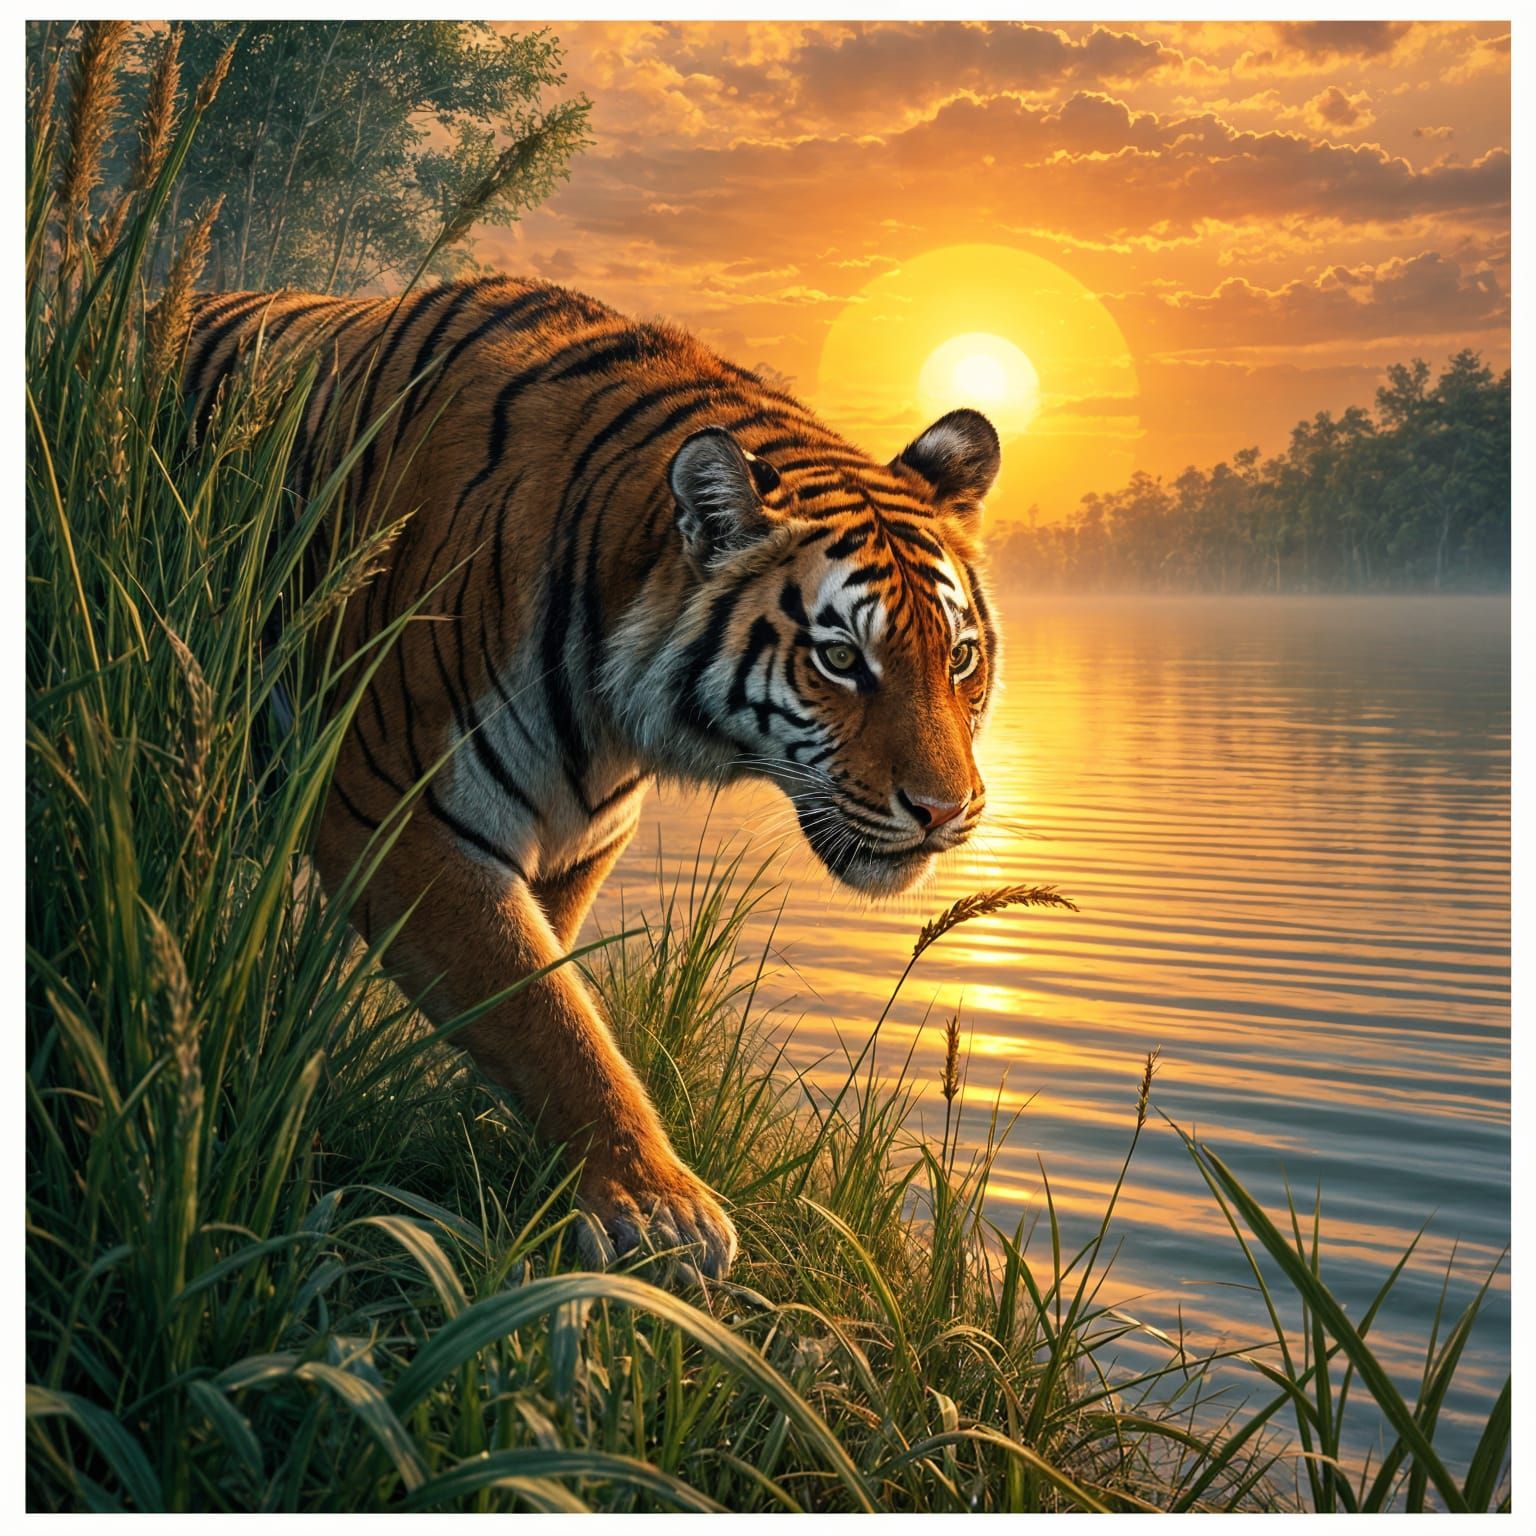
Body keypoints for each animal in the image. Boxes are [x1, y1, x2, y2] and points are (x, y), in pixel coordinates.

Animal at [184, 276, 1003, 1282]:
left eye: (959, 657)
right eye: (842, 659)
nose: (946, 811)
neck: (611, 718)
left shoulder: (577, 842)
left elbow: (543, 995)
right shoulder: (397, 814)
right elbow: (550, 1018)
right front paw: (660, 1214)